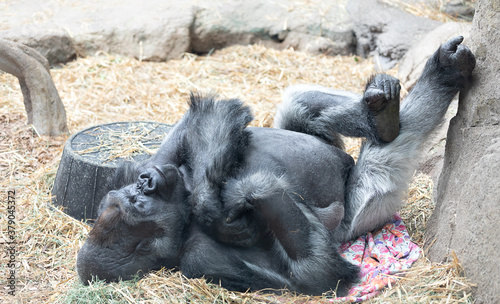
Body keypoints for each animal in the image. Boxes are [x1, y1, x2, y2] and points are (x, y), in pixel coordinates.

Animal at [76, 36, 474, 296]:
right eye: (138, 202)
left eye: (134, 192)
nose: (147, 182)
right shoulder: (202, 260)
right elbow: (315, 273)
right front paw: (243, 195)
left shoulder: (149, 165)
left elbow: (195, 122)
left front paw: (206, 197)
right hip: (369, 204)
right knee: (386, 157)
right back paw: (440, 76)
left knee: (299, 102)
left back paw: (379, 113)